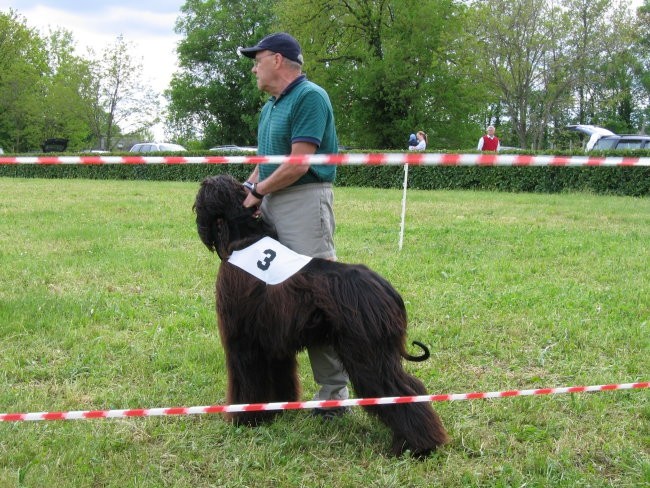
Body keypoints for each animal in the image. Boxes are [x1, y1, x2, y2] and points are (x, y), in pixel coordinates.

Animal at [192, 173, 446, 456]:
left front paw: (244, 418)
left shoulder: (243, 339)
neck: (245, 238)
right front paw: (278, 408)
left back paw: (418, 446)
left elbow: (246, 382)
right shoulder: (274, 341)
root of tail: (387, 291)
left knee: (399, 389)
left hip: (367, 353)